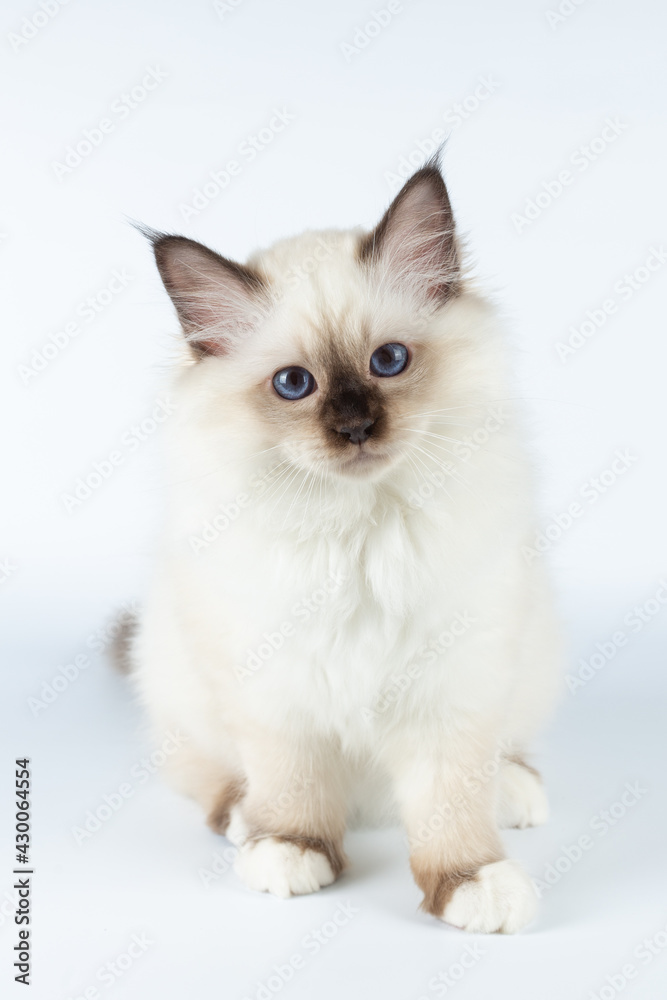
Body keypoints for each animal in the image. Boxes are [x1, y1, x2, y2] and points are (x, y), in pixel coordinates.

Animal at [130, 160, 560, 932]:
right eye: (293, 384)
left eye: (387, 361)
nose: (355, 427)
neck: (359, 533)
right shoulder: (276, 685)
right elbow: (292, 784)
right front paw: (291, 850)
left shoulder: (450, 687)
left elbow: (451, 804)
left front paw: (473, 882)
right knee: (206, 775)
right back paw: (243, 820)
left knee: (501, 756)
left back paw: (512, 790)